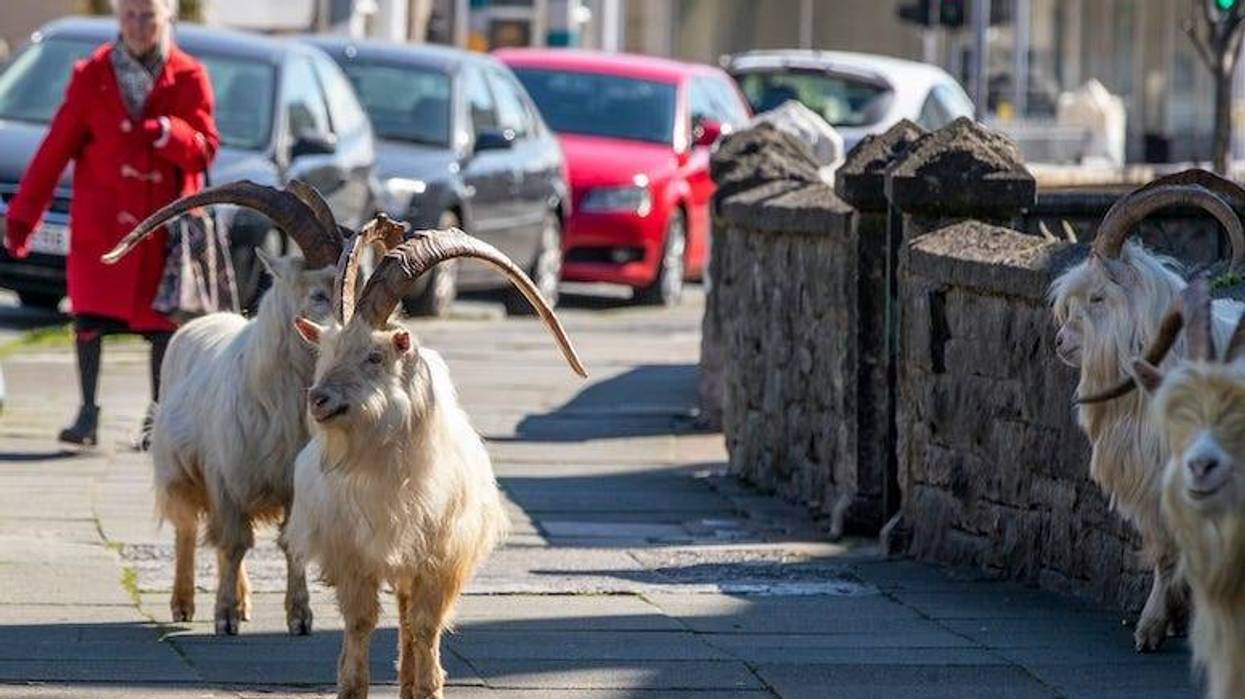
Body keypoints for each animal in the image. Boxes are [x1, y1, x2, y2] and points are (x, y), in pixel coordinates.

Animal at [101, 181, 348, 635]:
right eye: (319, 294)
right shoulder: (225, 475)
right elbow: (232, 543)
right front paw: (224, 617)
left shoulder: (290, 483)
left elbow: (288, 544)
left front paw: (299, 617)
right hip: (177, 470)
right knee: (188, 530)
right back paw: (183, 604)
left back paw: (245, 600)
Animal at [284, 228, 587, 699]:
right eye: (326, 351)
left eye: (375, 356)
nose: (319, 399)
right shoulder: (351, 553)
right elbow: (360, 621)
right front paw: (352, 686)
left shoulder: (442, 555)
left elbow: (426, 624)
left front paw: (428, 687)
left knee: (409, 614)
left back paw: (410, 680)